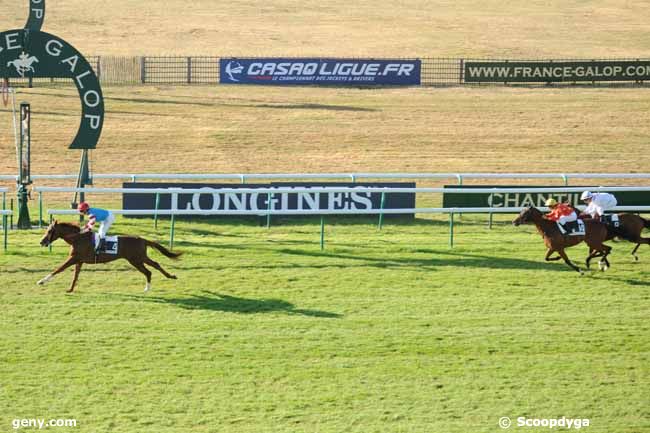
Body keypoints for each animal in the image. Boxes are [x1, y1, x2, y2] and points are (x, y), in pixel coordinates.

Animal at [39, 219, 181, 294]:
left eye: (50, 231)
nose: (42, 242)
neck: (77, 238)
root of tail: (143, 239)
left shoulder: (73, 259)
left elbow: (59, 269)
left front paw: (41, 281)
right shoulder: (79, 260)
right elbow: (75, 275)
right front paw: (70, 289)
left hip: (136, 259)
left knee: (149, 270)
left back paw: (148, 288)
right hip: (139, 258)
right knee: (154, 266)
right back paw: (168, 278)